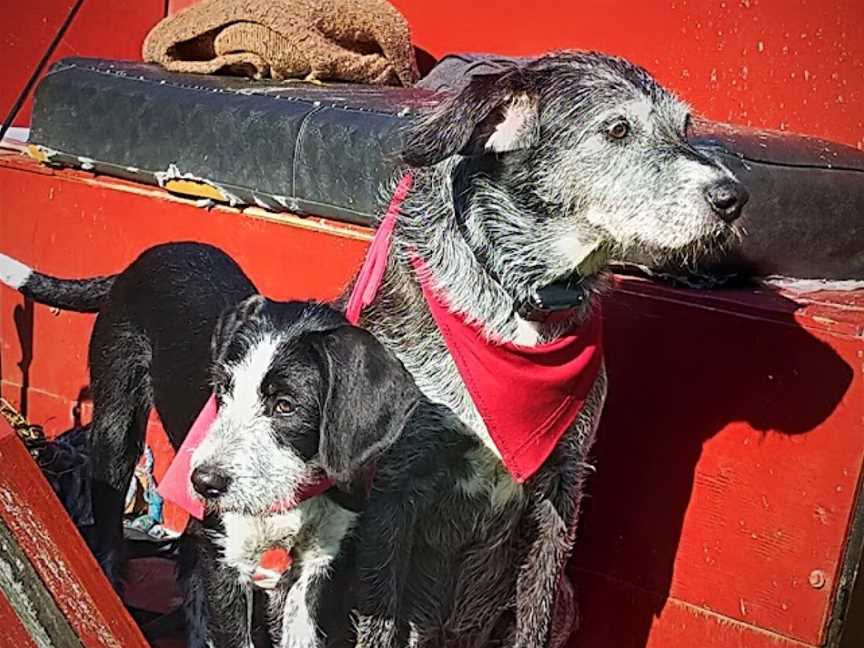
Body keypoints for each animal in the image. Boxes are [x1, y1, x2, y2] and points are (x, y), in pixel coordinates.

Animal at [348, 52, 744, 648]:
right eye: (617, 129)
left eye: (686, 126)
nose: (732, 198)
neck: (523, 299)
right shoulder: (390, 491)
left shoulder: (560, 491)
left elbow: (532, 612)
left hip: (568, 603)